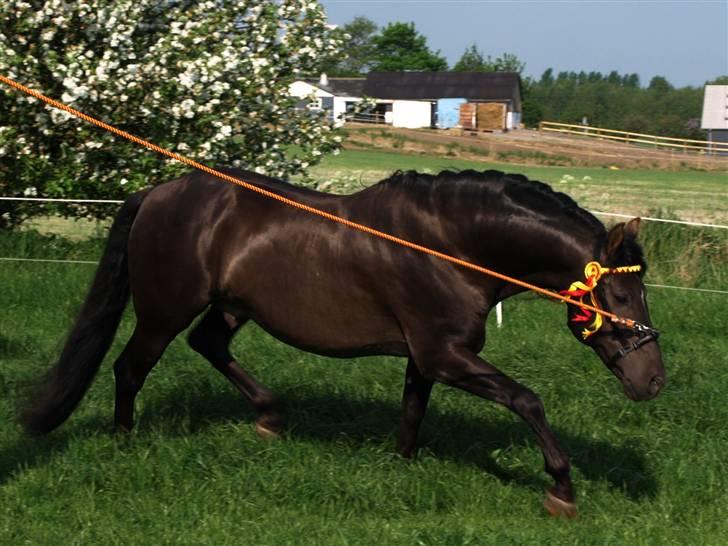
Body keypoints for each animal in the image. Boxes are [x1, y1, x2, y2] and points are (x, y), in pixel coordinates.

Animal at [18, 168, 664, 516]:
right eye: (621, 296)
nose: (653, 380)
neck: (448, 244)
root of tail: (157, 192)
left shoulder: (427, 355)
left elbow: (412, 412)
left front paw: (401, 468)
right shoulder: (447, 355)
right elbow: (528, 400)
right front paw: (562, 489)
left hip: (230, 308)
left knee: (209, 346)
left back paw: (271, 417)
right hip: (163, 312)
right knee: (130, 368)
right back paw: (124, 441)